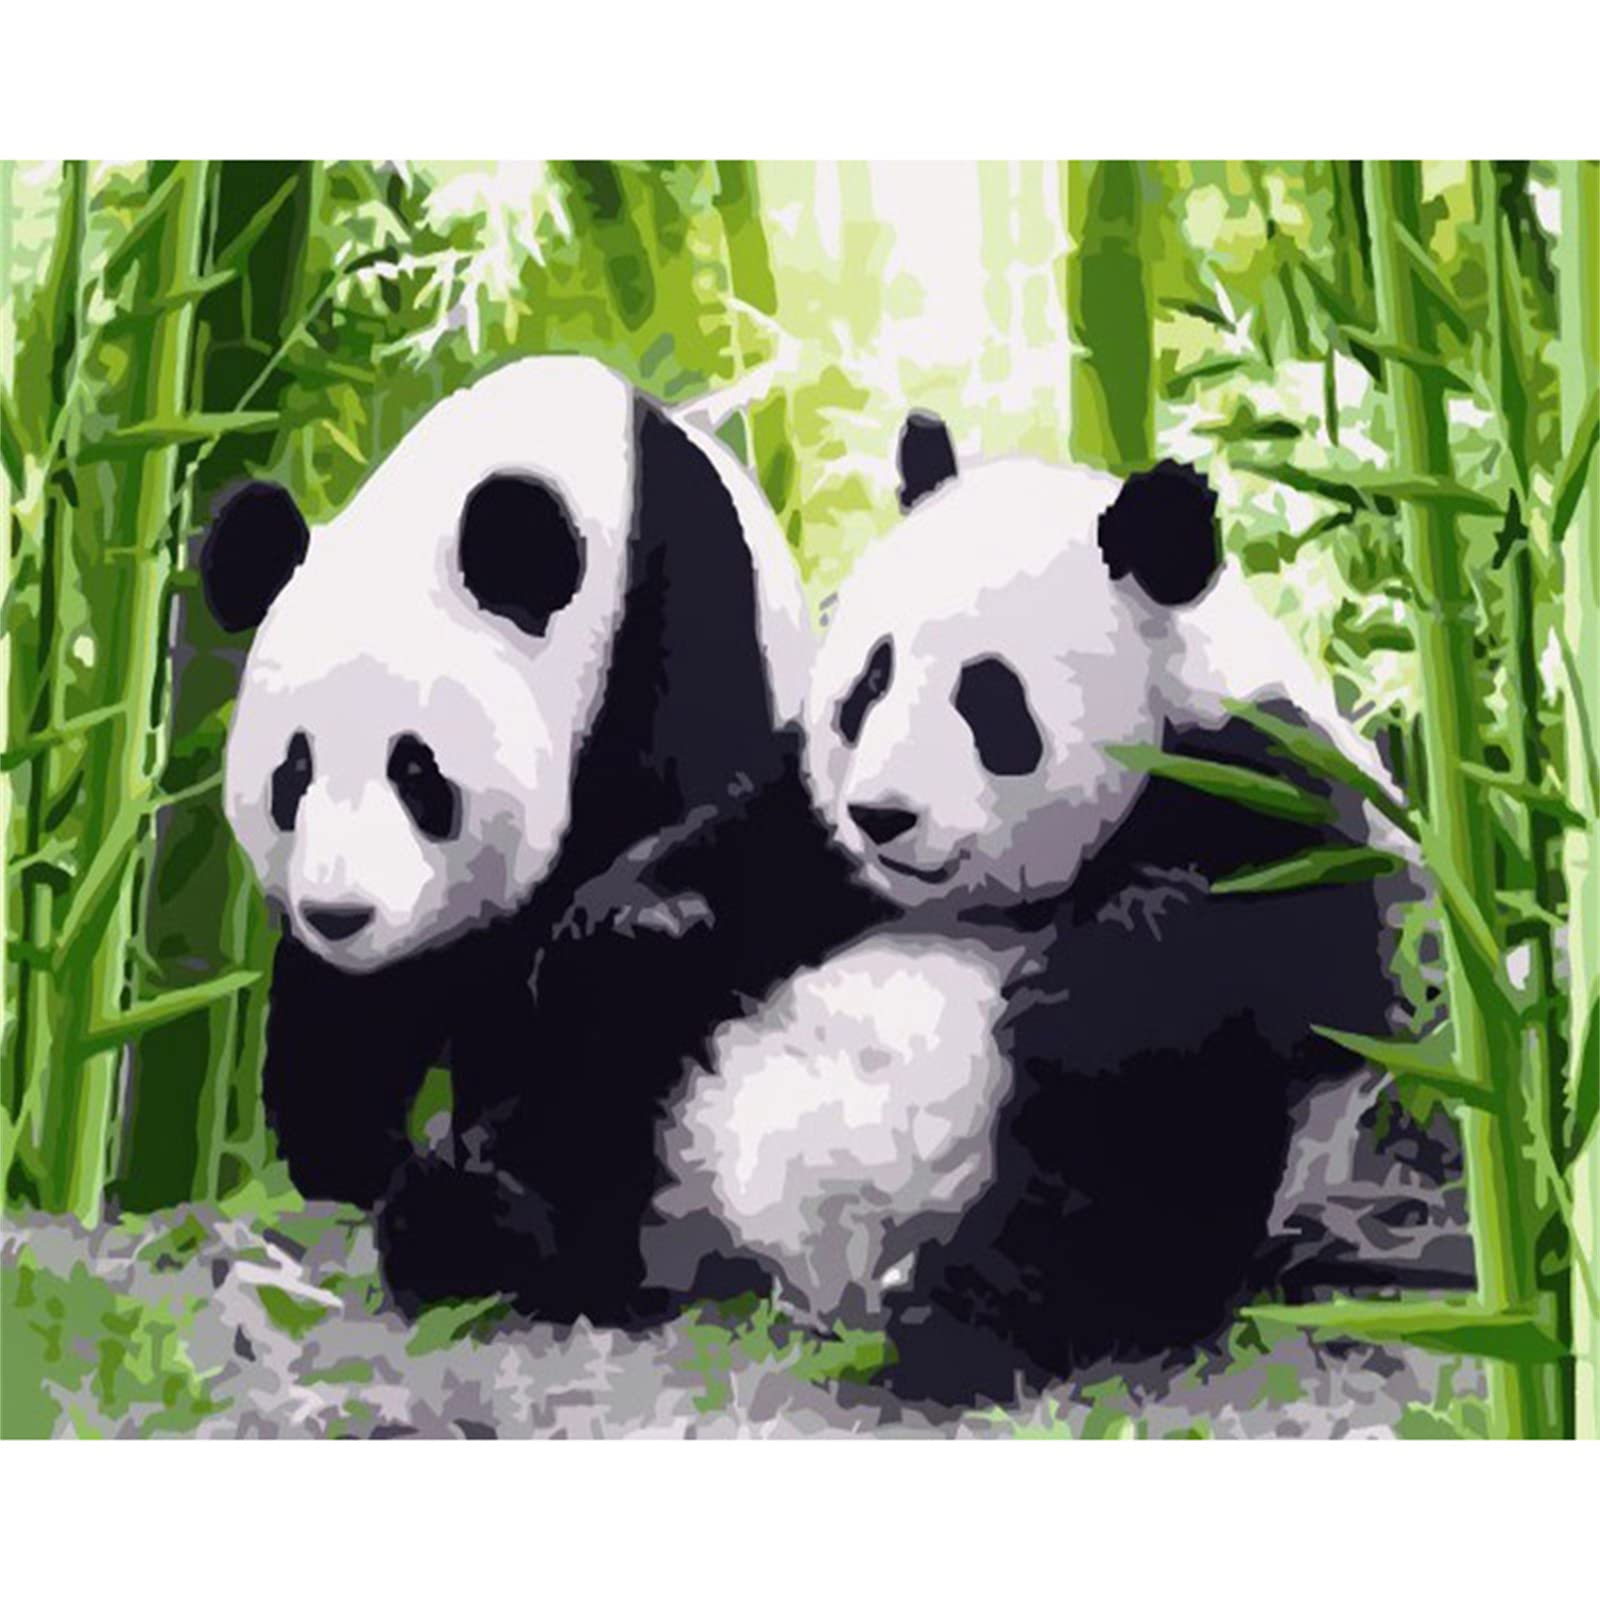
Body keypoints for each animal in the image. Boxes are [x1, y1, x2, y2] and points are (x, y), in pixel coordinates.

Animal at [202, 354, 813, 1319]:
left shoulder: (681, 633)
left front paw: (502, 1219)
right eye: (291, 775)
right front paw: (358, 1162)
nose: (339, 915)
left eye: (417, 773)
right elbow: (361, 1012)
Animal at [623, 413, 1402, 1400]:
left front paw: (1087, 991)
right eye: (868, 685)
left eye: (988, 698)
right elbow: (744, 854)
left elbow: (1283, 962)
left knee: (1133, 1164)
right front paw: (655, 914)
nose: (881, 816)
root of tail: (802, 1271)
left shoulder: (1261, 777)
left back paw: (960, 1328)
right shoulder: (808, 840)